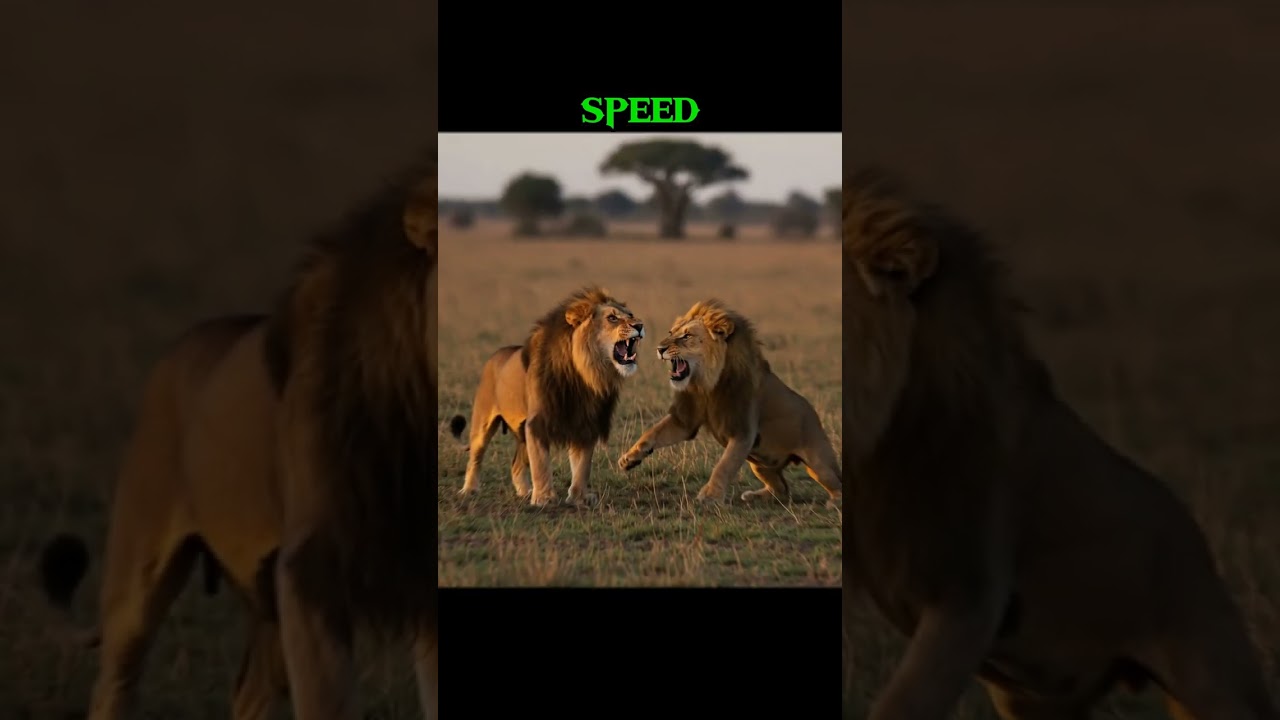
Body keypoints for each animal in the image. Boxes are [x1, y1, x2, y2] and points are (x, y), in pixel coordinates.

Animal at [37, 152, 440, 720]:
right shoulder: (309, 574)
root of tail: (178, 348)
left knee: (247, 693)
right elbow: (326, 703)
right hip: (138, 570)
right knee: (116, 678)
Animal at [449, 286, 644, 506]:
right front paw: (544, 498)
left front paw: (579, 497)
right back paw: (469, 490)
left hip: (521, 430)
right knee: (475, 457)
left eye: (630, 315)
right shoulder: (537, 423)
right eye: (612, 318)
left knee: (516, 465)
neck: (587, 373)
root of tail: (496, 354)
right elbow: (541, 464)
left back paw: (525, 492)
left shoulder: (586, 422)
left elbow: (582, 465)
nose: (640, 325)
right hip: (483, 423)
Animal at [617, 299, 842, 508]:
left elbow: (724, 465)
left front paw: (709, 496)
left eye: (687, 336)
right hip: (760, 464)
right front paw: (629, 458)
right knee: (782, 488)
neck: (707, 384)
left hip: (817, 462)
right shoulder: (684, 421)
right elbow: (653, 432)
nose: (659, 348)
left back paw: (834, 501)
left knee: (834, 481)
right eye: (671, 332)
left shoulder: (743, 431)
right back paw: (753, 496)